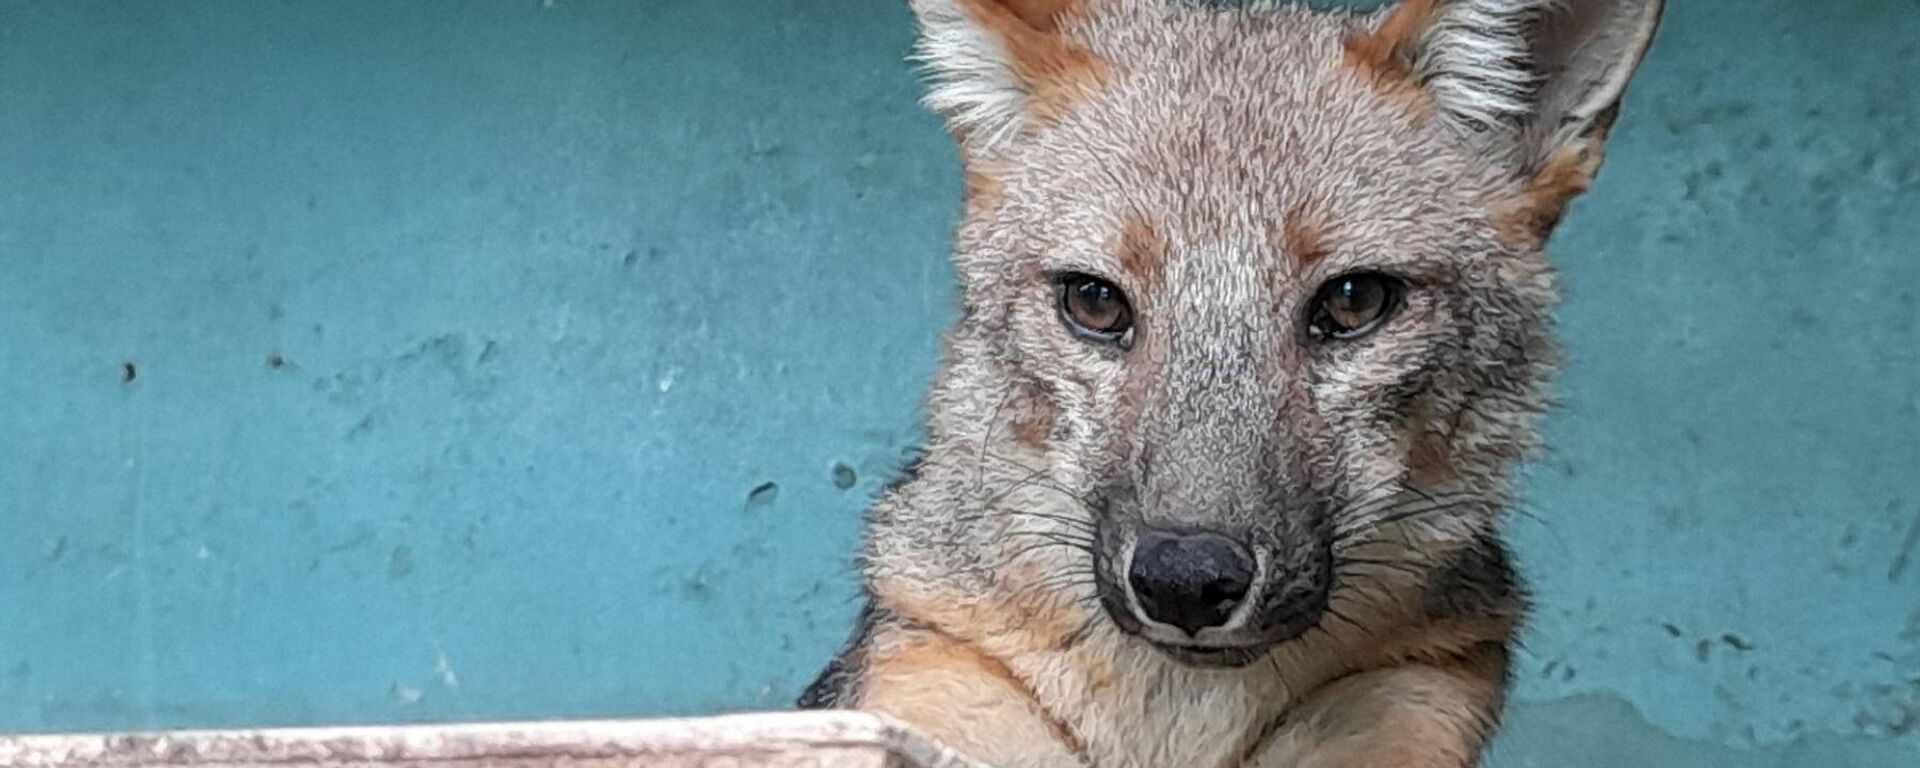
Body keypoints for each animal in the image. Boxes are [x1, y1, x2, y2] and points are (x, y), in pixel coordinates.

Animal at [794, 0, 1666, 764]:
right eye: (1094, 302)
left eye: (1354, 301)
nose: (1185, 579)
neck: (1177, 737)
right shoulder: (928, 690)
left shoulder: (1410, 698)